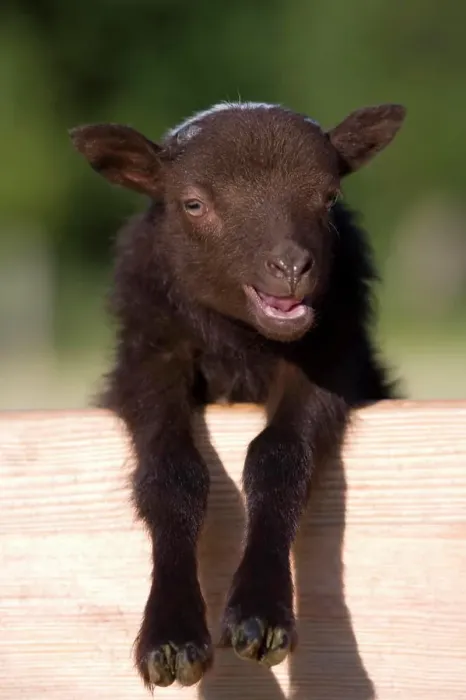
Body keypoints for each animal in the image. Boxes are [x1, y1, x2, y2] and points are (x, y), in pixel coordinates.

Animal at [69, 100, 406, 690]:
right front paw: (171, 639)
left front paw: (261, 618)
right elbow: (172, 474)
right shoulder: (149, 361)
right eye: (193, 203)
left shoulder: (331, 360)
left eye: (329, 197)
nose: (291, 267)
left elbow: (277, 457)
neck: (240, 343)